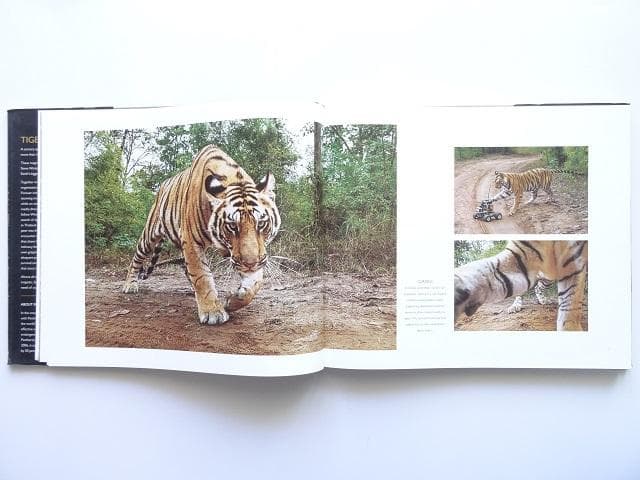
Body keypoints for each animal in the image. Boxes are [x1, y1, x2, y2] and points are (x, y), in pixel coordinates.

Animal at [122, 145, 281, 325]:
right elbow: (202, 276)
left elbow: (255, 281)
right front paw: (213, 312)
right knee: (136, 258)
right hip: (149, 235)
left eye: (261, 224)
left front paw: (233, 300)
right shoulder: (191, 241)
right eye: (233, 226)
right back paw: (130, 285)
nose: (250, 263)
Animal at [454, 241, 587, 331]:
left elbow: (570, 306)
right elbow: (486, 271)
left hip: (549, 277)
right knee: (529, 290)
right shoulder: (519, 255)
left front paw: (571, 328)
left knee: (539, 287)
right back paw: (516, 306)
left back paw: (543, 300)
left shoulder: (575, 263)